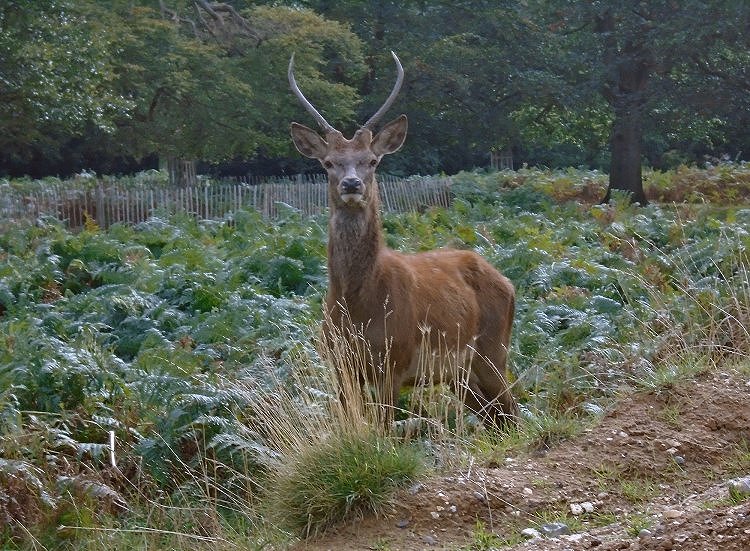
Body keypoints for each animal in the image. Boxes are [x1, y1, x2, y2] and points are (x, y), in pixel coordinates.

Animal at [288, 52, 519, 427]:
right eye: (328, 163)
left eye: (371, 160)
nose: (352, 184)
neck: (357, 305)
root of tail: (507, 281)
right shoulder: (339, 365)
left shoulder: (394, 361)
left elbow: (384, 429)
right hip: (458, 374)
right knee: (494, 417)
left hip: (493, 349)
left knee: (513, 411)